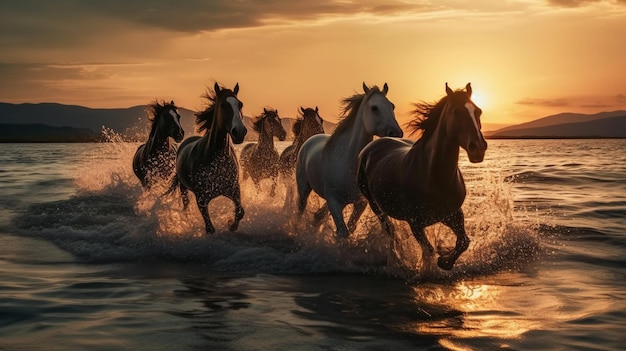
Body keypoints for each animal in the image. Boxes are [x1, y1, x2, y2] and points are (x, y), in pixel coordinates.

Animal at [167, 84, 247, 235]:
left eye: (240, 104)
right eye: (223, 105)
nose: (239, 132)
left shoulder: (234, 190)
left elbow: (240, 212)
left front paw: (230, 225)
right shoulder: (202, 199)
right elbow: (210, 228)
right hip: (183, 188)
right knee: (186, 205)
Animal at [294, 83, 402, 239]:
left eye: (392, 106)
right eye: (374, 107)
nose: (396, 133)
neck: (348, 162)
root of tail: (309, 140)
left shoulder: (360, 203)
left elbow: (350, 228)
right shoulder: (334, 202)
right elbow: (343, 232)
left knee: (318, 216)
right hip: (303, 188)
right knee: (300, 210)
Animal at [356, 83, 488, 272]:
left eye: (478, 111)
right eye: (456, 111)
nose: (478, 148)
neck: (432, 175)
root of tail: (369, 148)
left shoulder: (452, 214)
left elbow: (464, 241)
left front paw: (445, 262)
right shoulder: (415, 223)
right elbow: (429, 251)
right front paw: (434, 265)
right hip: (375, 206)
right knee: (391, 233)